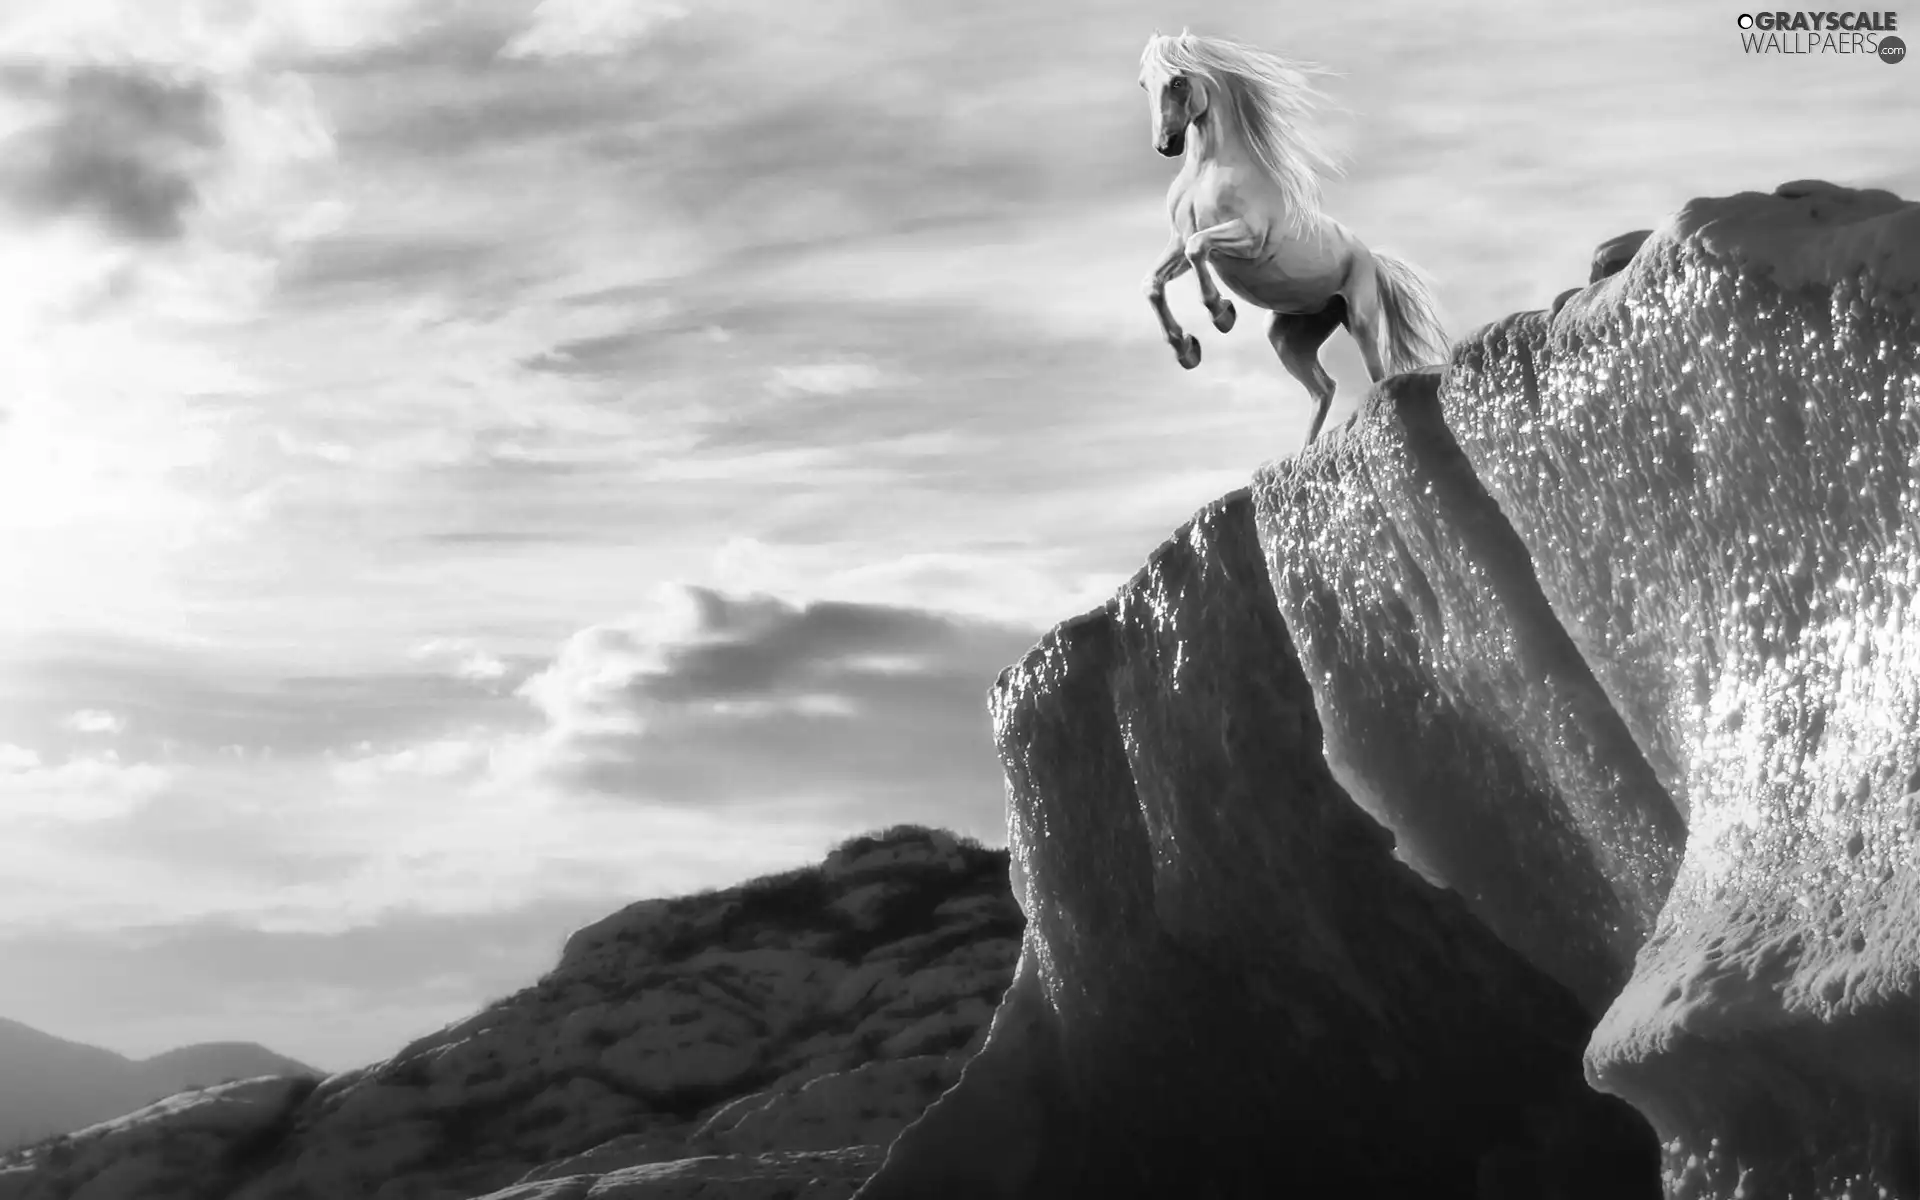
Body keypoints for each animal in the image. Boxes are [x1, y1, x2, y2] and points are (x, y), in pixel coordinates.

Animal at [1136, 32, 1443, 447]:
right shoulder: (1177, 244)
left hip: (1360, 318)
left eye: (1178, 81)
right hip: (1289, 334)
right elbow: (1153, 282)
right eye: (1144, 84)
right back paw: (1304, 448)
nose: (1166, 145)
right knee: (1323, 388)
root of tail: (1372, 258)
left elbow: (1198, 247)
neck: (1207, 170)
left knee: (1376, 373)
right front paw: (1187, 350)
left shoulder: (1247, 238)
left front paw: (1222, 314)